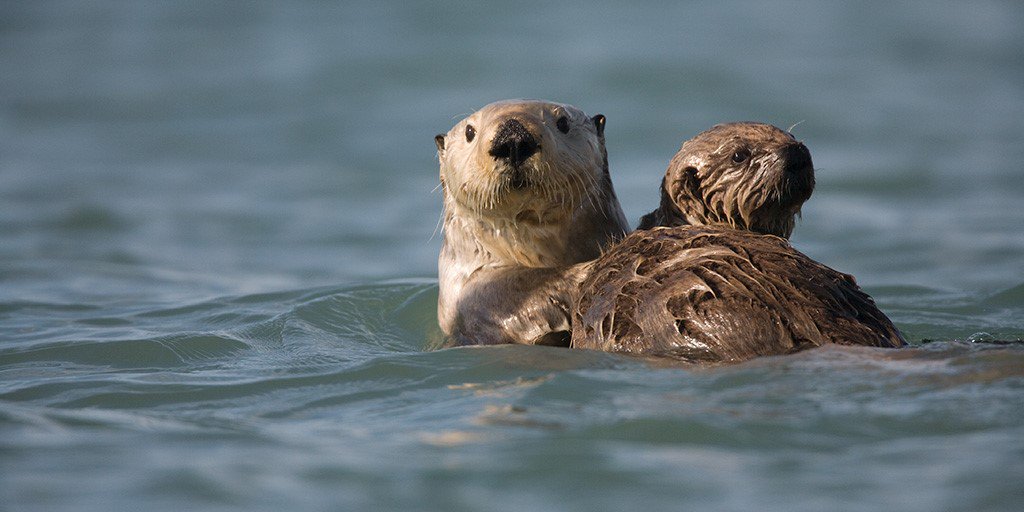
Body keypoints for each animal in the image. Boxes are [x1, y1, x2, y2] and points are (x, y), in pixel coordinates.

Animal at [434, 100, 629, 346]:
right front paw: (586, 272)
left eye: (563, 122)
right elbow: (516, 291)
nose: (513, 140)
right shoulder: (469, 298)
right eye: (469, 132)